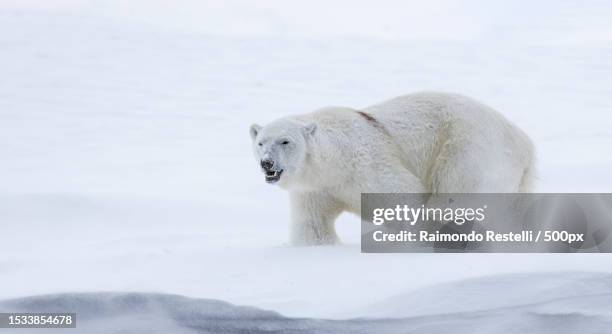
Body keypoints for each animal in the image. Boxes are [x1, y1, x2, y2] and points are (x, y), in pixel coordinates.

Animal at [249, 91, 536, 245]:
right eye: (260, 142)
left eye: (285, 141)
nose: (267, 163)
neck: (334, 163)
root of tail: (525, 143)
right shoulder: (314, 189)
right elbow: (314, 225)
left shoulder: (366, 164)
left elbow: (403, 195)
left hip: (468, 149)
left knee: (453, 195)